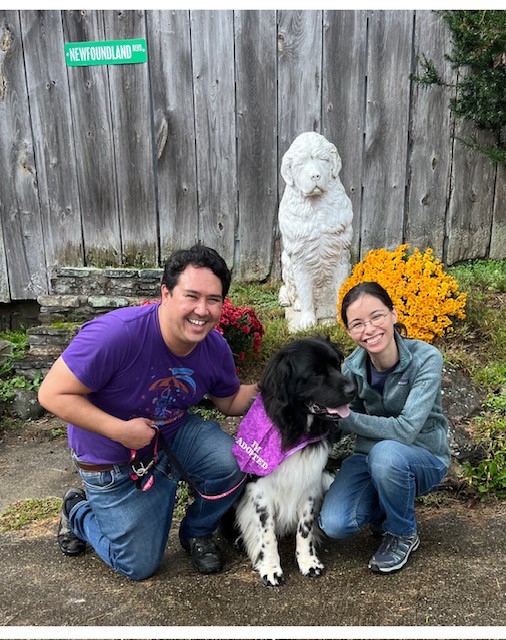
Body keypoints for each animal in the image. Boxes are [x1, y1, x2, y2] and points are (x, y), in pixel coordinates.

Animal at [225, 338, 356, 588]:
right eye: (315, 373)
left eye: (337, 365)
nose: (354, 390)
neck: (295, 428)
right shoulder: (260, 490)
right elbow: (267, 534)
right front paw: (270, 568)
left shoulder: (311, 484)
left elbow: (304, 529)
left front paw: (308, 563)